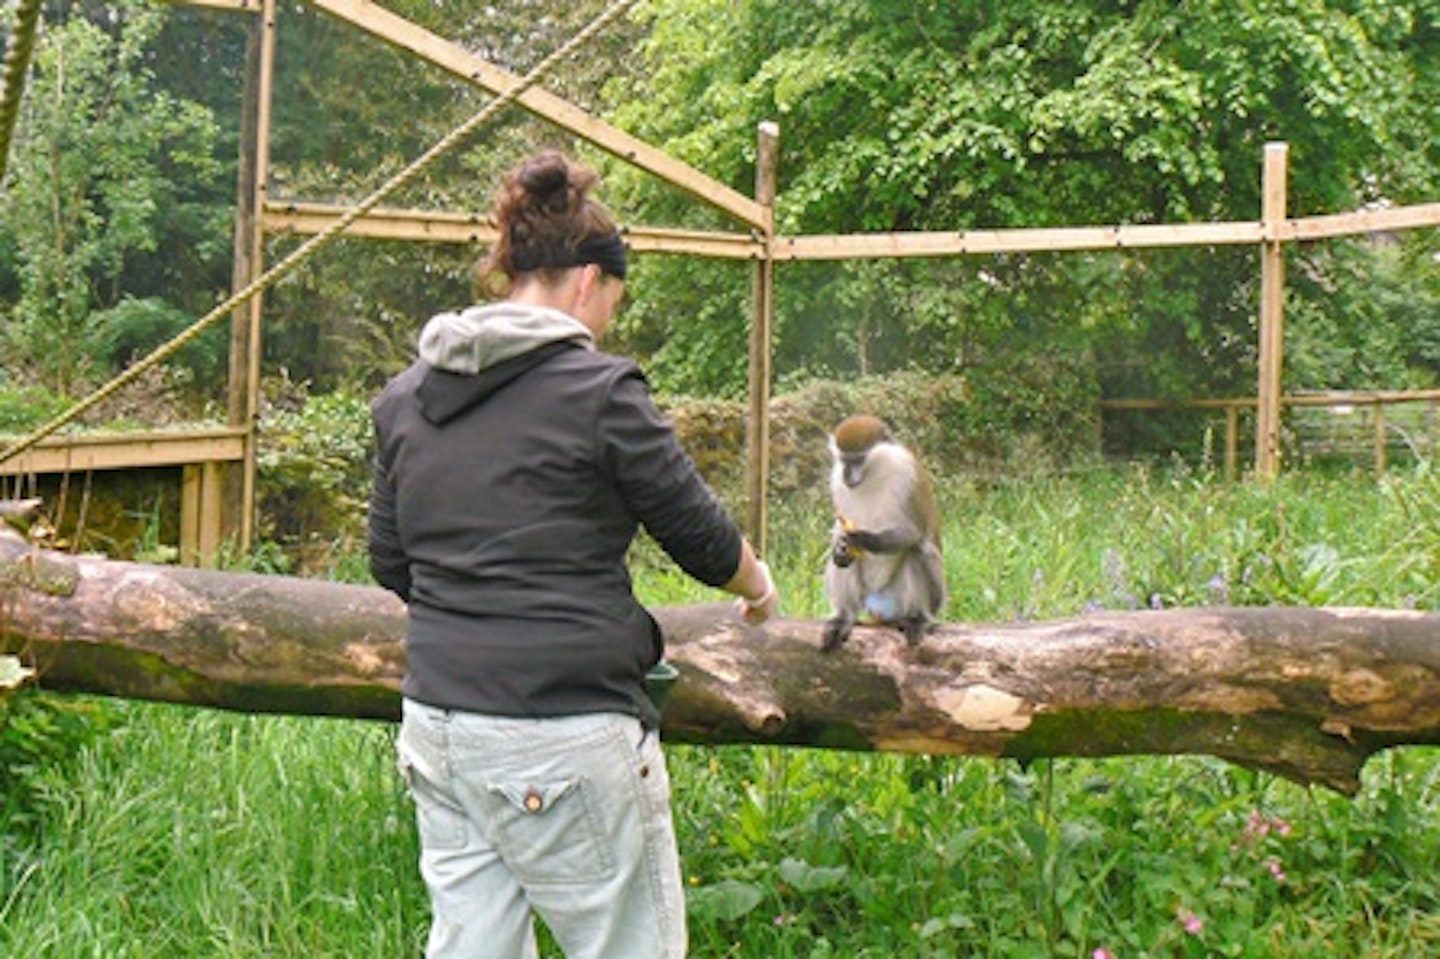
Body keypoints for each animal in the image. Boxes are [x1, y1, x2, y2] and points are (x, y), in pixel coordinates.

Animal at [823, 414, 944, 653]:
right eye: (843, 459)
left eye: (858, 459)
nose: (847, 475)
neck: (874, 473)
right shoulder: (836, 481)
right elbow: (840, 531)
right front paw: (841, 546)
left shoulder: (907, 474)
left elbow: (913, 531)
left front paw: (861, 538)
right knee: (844, 564)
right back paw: (844, 616)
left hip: (908, 601)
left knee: (918, 550)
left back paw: (919, 618)